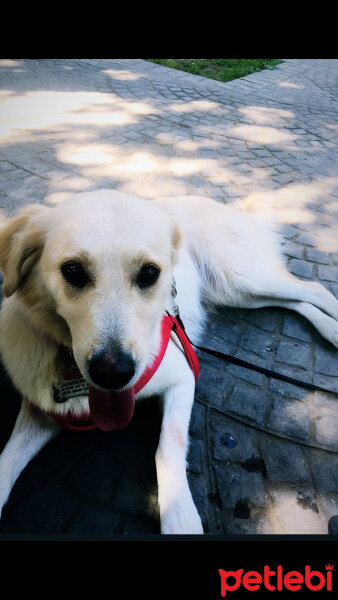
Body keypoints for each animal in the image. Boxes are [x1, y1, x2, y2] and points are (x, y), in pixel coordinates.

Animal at [0, 190, 338, 532]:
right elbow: (6, 463)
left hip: (245, 277)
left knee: (315, 289)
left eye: (149, 273)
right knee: (297, 302)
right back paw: (329, 328)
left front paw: (179, 516)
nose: (113, 373)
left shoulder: (183, 376)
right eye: (72, 271)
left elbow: (167, 448)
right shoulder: (39, 413)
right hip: (238, 293)